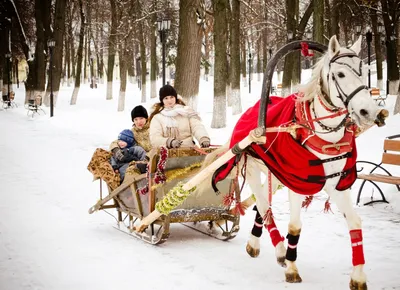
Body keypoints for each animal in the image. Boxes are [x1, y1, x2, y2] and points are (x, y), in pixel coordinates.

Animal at [205, 36, 386, 290]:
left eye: (365, 71)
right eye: (340, 74)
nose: (369, 111)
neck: (324, 136)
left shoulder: (335, 184)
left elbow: (355, 222)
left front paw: (358, 276)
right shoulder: (296, 184)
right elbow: (294, 226)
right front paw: (291, 267)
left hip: (274, 172)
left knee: (263, 207)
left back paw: (256, 242)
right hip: (253, 169)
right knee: (264, 206)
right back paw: (279, 249)